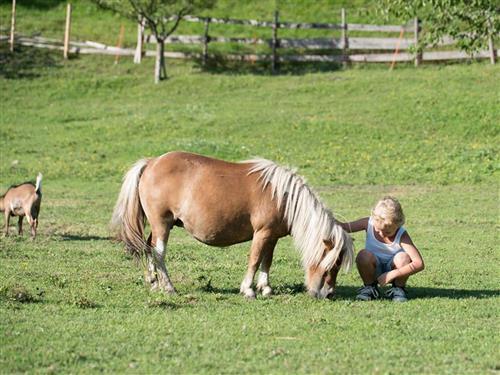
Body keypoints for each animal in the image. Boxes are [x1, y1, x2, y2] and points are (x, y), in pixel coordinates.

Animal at [111, 152, 354, 300]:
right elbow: (255, 260)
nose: (328, 294)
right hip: (162, 224)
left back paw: (154, 282)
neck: (282, 196)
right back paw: (169, 287)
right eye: (332, 264)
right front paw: (248, 290)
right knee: (159, 253)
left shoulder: (272, 236)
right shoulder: (262, 233)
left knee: (149, 248)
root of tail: (151, 162)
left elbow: (267, 261)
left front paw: (265, 288)